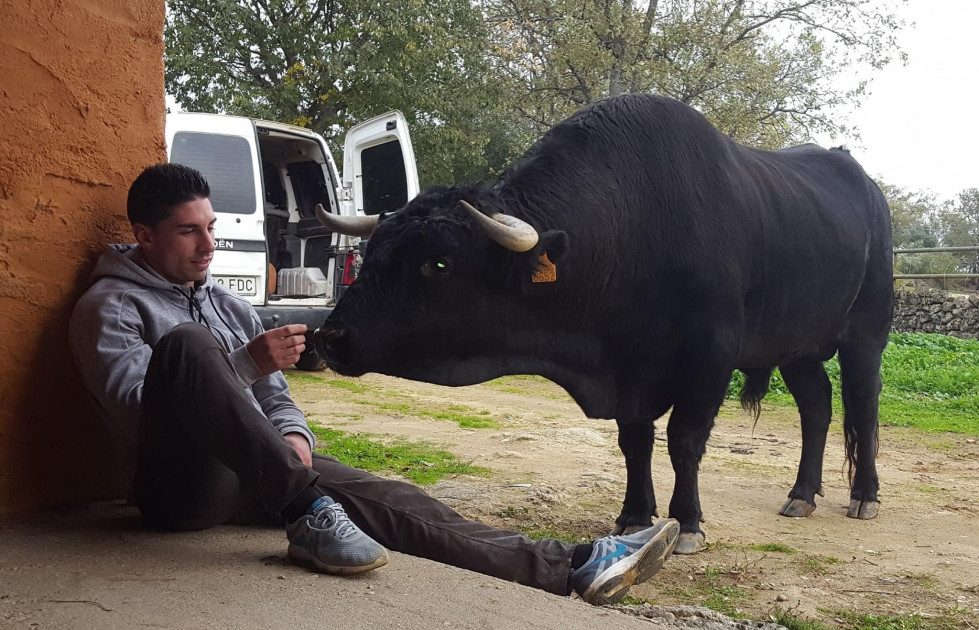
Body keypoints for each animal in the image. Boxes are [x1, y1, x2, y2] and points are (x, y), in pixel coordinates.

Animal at [316, 95, 896, 556]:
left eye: (437, 263)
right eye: (374, 252)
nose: (331, 336)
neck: (634, 226)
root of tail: (864, 182)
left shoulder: (708, 360)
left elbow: (684, 441)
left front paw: (687, 522)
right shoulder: (628, 369)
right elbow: (635, 442)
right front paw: (635, 515)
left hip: (866, 333)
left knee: (862, 404)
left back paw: (864, 494)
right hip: (797, 347)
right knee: (817, 407)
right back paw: (802, 493)